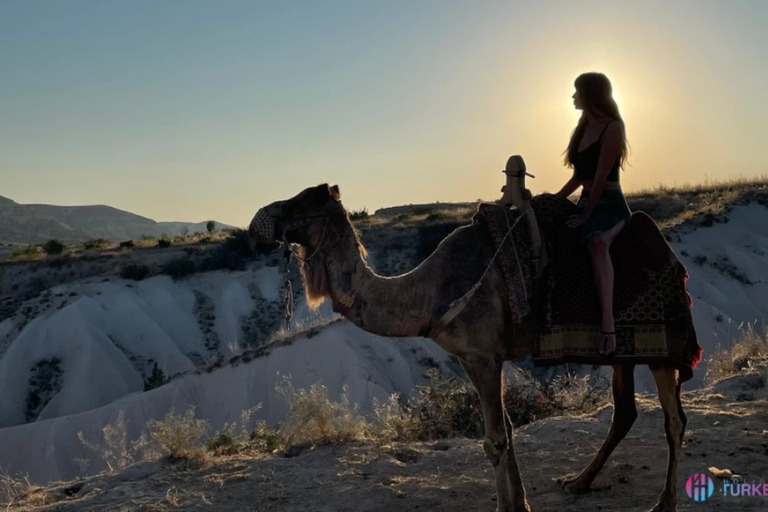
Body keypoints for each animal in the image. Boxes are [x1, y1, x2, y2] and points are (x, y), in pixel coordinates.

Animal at [249, 182, 688, 510]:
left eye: (302, 200)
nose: (255, 225)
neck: (430, 295)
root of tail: (665, 247)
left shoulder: (485, 356)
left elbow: (494, 440)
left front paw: (508, 508)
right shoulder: (469, 359)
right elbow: (506, 430)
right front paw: (523, 504)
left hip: (661, 347)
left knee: (673, 418)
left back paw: (664, 502)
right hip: (620, 351)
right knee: (625, 411)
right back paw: (578, 482)